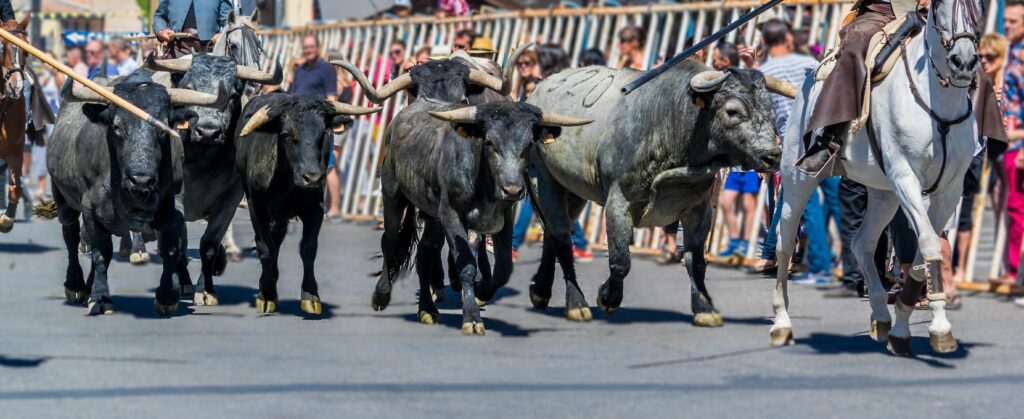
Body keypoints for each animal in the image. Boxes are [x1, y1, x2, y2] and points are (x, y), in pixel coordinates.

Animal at [232, 91, 380, 313]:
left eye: (324, 133)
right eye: (287, 134)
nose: (312, 177)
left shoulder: (315, 209)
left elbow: (308, 248)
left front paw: (310, 296)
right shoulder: (255, 206)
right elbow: (265, 248)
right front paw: (266, 294)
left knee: (278, 239)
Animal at [770, 0, 978, 354]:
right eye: (940, 5)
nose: (964, 61)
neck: (938, 104)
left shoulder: (948, 191)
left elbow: (923, 254)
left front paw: (906, 325)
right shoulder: (906, 178)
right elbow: (928, 244)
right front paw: (939, 326)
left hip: (883, 194)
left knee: (861, 243)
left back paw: (881, 315)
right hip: (797, 181)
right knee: (785, 245)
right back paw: (782, 323)